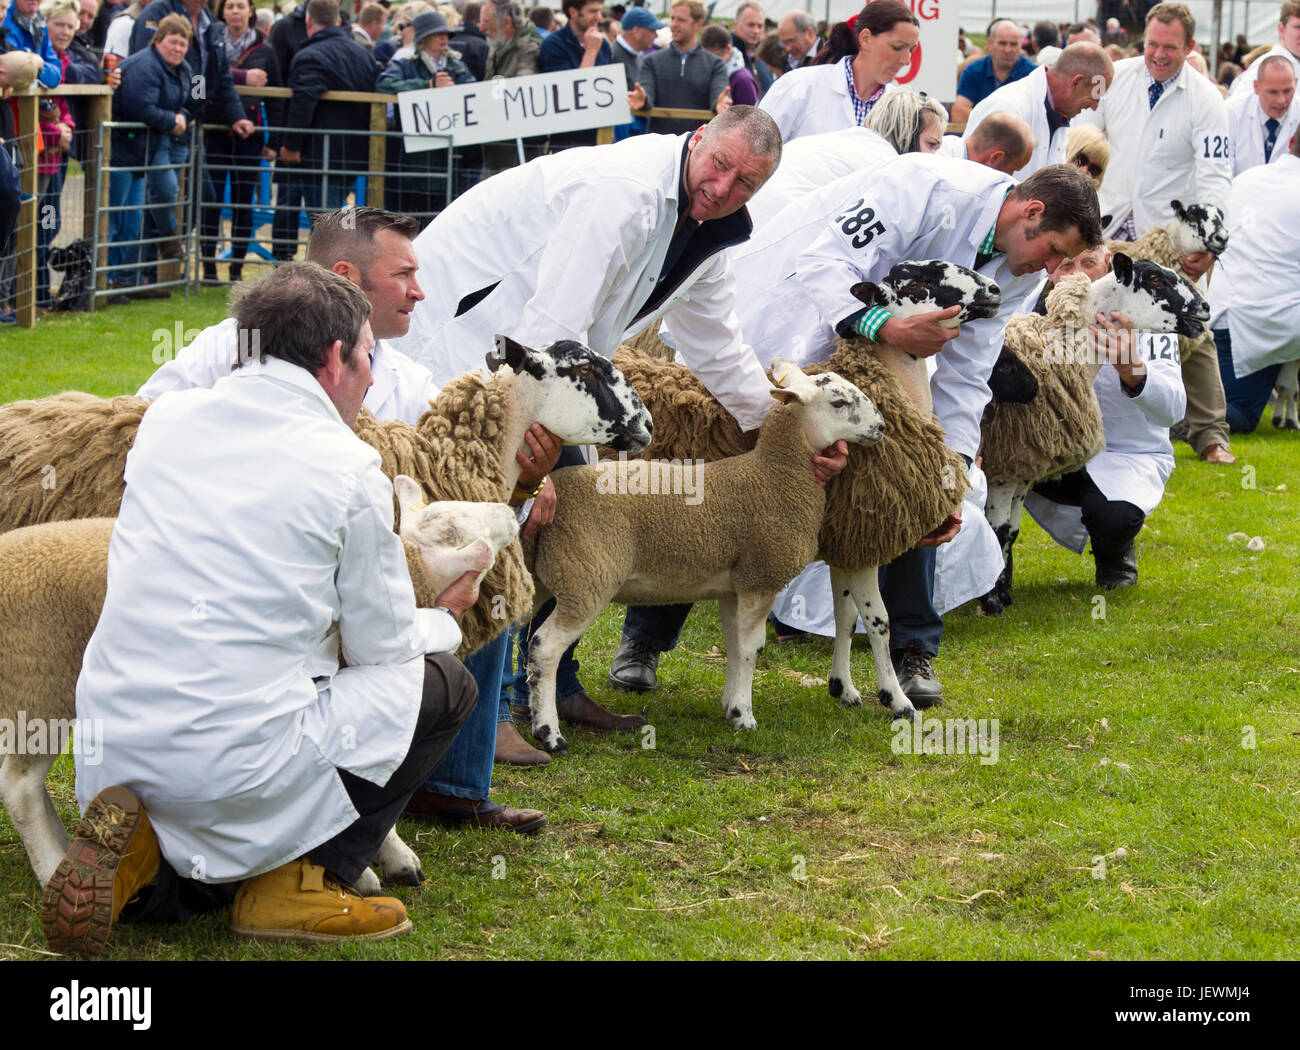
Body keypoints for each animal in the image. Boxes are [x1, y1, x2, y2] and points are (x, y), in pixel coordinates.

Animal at [522, 363, 889, 753]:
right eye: (838, 402)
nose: (881, 427)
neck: (774, 475)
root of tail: (556, 492)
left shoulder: (734, 587)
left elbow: (735, 647)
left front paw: (731, 706)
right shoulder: (761, 577)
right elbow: (752, 649)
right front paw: (745, 716)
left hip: (543, 578)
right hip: (586, 578)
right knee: (544, 648)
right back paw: (549, 733)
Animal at [608, 259, 1003, 722]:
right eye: (919, 281)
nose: (995, 290)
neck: (897, 391)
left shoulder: (844, 544)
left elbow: (845, 617)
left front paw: (844, 688)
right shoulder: (862, 540)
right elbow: (879, 622)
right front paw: (896, 699)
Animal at [977, 254, 1211, 615]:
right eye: (1155, 279)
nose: (1205, 307)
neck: (1060, 353)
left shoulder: (1023, 472)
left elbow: (1011, 533)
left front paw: (1003, 594)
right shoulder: (1004, 468)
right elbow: (998, 531)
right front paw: (992, 604)